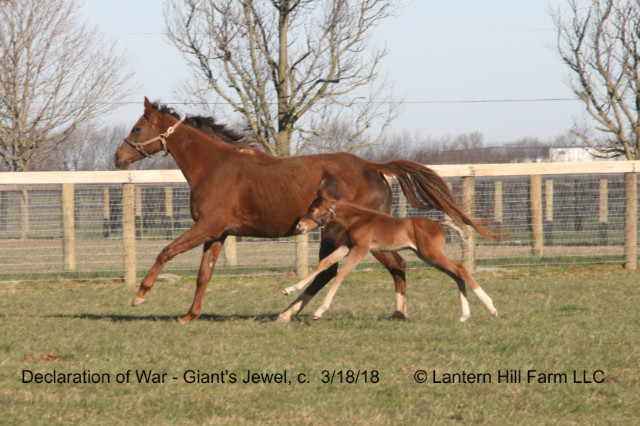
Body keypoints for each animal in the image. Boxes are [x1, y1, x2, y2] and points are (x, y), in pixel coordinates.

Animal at [284, 191, 500, 322]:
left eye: (312, 209)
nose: (300, 226)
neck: (359, 219)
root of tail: (438, 223)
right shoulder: (347, 246)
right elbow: (323, 264)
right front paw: (289, 289)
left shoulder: (361, 249)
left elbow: (341, 274)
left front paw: (320, 311)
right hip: (428, 256)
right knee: (456, 274)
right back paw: (464, 315)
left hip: (432, 254)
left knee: (461, 269)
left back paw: (491, 308)